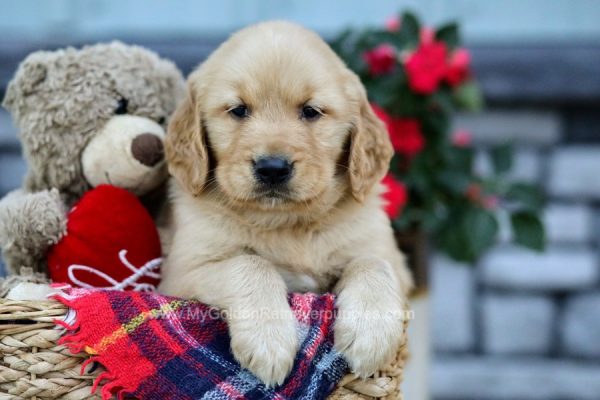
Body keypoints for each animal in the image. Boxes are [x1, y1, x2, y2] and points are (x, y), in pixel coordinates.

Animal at [158, 20, 412, 386]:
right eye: (238, 110)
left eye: (311, 111)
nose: (272, 168)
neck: (287, 223)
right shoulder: (182, 273)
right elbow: (250, 264)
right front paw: (269, 341)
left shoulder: (388, 257)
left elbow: (373, 264)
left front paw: (370, 334)